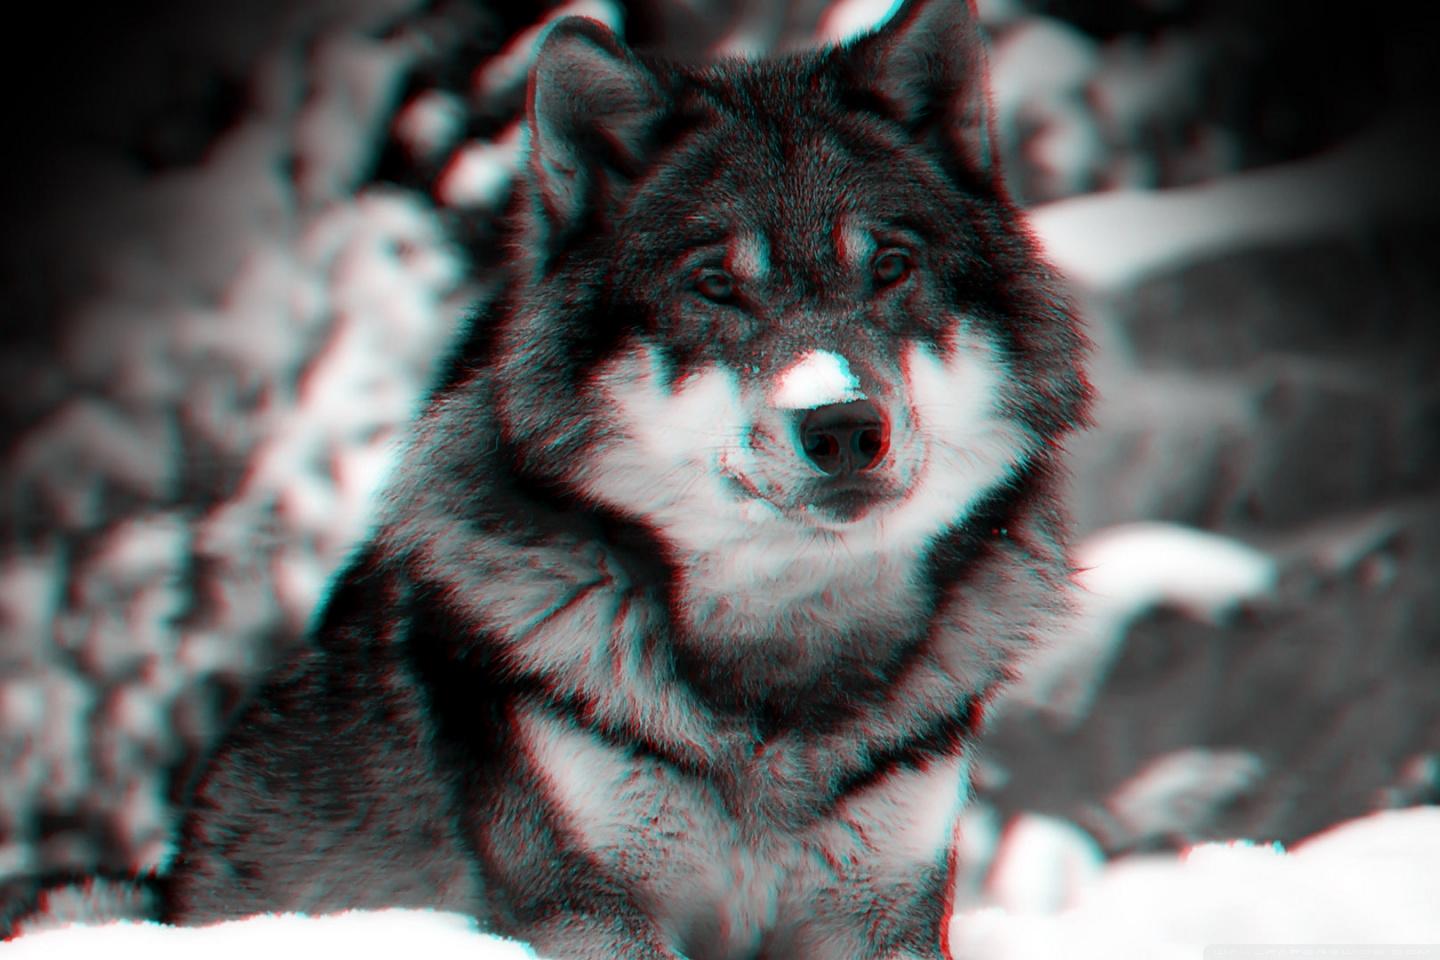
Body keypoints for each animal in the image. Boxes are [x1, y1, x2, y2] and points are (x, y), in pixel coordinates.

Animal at [149, 0, 1091, 956]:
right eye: (714, 285)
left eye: (891, 268)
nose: (843, 425)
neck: (779, 672)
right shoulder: (587, 906)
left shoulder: (885, 910)